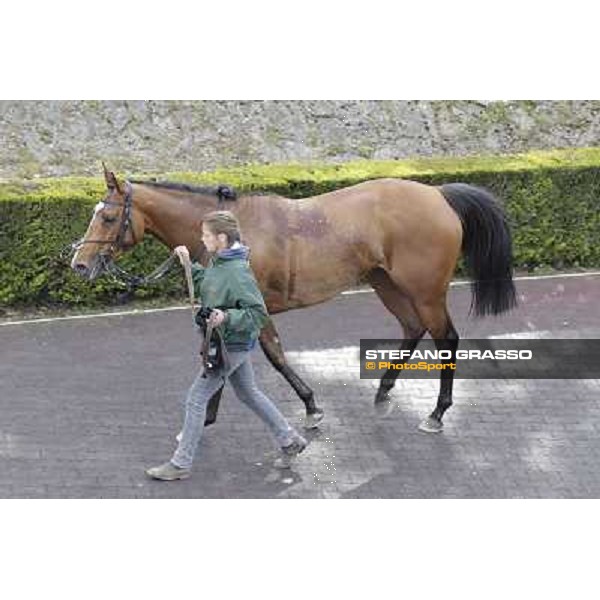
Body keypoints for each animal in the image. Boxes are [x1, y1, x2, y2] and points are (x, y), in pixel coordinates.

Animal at [71, 165, 516, 432]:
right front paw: (208, 416)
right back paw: (383, 391)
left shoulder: (256, 309)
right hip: (385, 282)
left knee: (446, 339)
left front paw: (312, 407)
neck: (234, 235)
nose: (79, 263)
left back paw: (437, 413)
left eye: (108, 217)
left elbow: (275, 355)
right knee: (412, 328)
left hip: (425, 290)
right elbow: (224, 358)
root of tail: (438, 194)